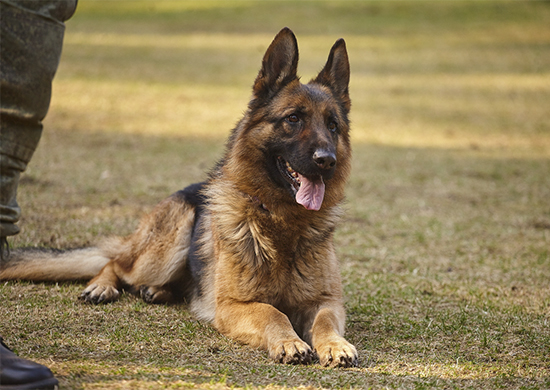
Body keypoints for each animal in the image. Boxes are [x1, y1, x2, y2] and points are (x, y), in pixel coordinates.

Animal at [1, 29, 358, 368]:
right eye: (293, 118)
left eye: (332, 125)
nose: (327, 160)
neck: (282, 222)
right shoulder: (233, 305)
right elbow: (274, 313)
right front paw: (289, 341)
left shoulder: (326, 301)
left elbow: (325, 321)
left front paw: (336, 345)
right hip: (168, 244)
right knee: (116, 262)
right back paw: (104, 285)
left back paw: (157, 291)